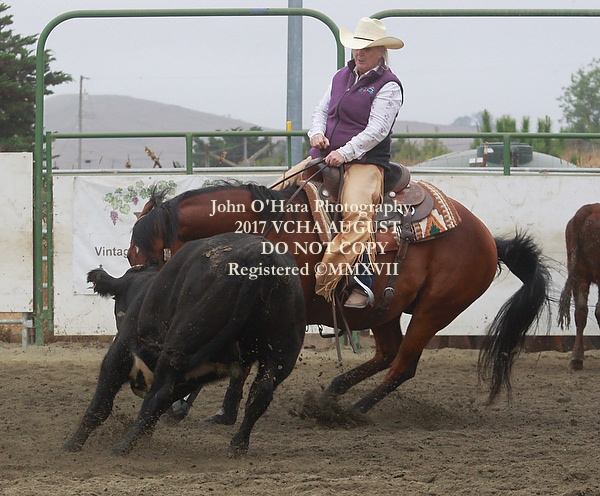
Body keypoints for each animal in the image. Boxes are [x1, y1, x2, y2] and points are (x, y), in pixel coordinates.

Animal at [62, 232, 306, 457]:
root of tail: (260, 258)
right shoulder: (194, 375)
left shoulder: (121, 350)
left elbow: (102, 403)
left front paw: (72, 444)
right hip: (281, 354)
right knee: (260, 395)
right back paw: (238, 446)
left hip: (183, 344)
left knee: (158, 396)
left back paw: (122, 447)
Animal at [127, 181, 551, 415]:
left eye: (149, 256)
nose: (147, 302)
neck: (269, 234)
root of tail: (488, 239)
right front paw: (187, 404)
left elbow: (239, 359)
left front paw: (196, 405)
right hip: (385, 311)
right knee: (387, 353)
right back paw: (334, 392)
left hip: (435, 310)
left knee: (403, 364)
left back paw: (353, 410)